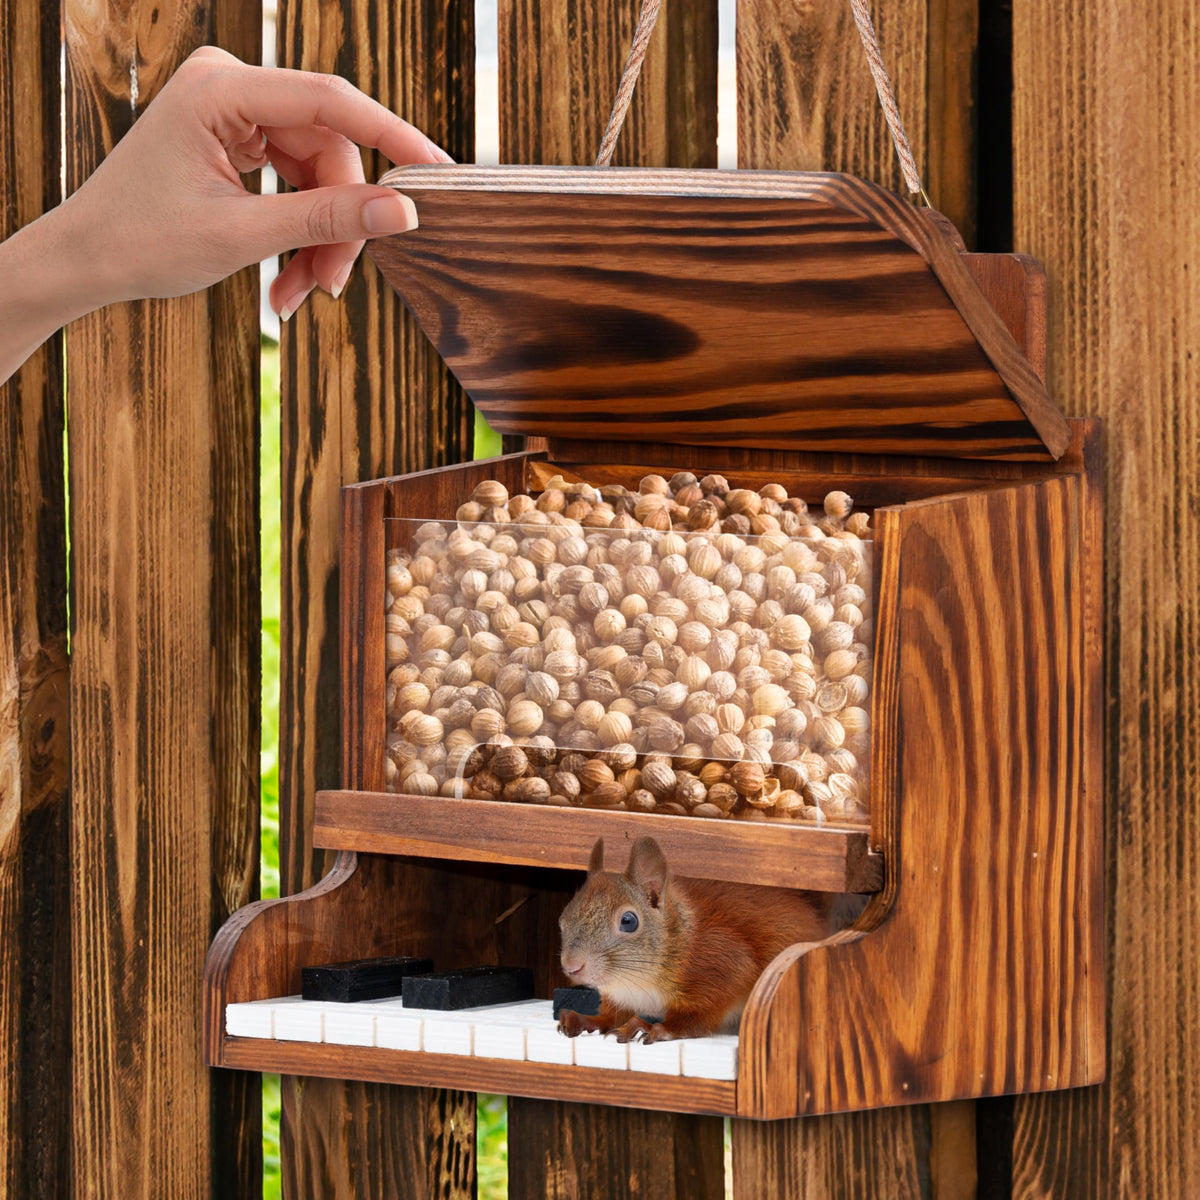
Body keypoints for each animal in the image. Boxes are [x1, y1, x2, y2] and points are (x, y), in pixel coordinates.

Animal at [557, 836, 865, 1043]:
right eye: (564, 917)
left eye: (628, 921)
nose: (572, 967)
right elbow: (612, 1015)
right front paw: (587, 1019)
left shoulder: (724, 963)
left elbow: (698, 1016)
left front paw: (654, 1027)